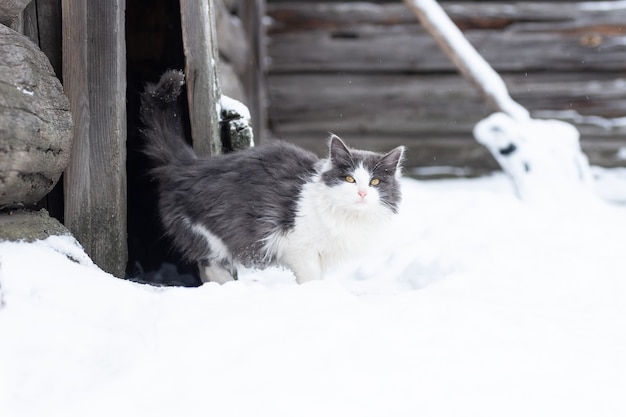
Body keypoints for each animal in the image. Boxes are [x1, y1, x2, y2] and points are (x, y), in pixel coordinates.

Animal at [140, 70, 404, 284]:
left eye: (375, 182)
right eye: (350, 179)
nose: (362, 192)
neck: (347, 218)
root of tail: (190, 164)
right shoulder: (299, 247)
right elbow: (311, 279)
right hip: (208, 232)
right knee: (209, 265)